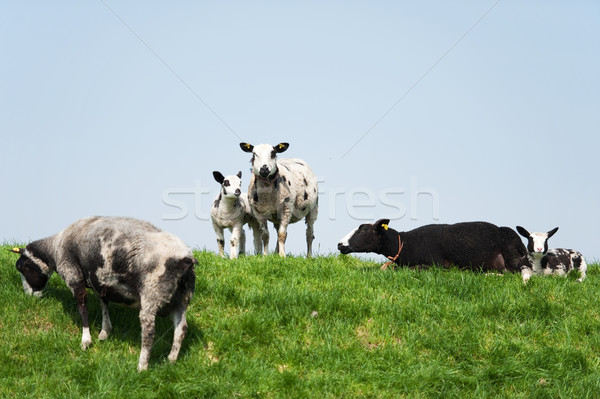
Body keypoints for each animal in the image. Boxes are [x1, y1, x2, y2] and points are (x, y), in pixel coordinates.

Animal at [9, 216, 197, 372]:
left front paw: (86, 340)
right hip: (182, 299)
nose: (29, 296)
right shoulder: (100, 282)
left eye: (21, 267)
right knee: (181, 328)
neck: (55, 248)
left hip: (152, 294)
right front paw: (105, 331)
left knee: (149, 332)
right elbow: (103, 304)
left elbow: (82, 308)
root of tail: (186, 259)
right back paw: (171, 360)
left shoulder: (73, 274)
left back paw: (142, 367)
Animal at [338, 219, 528, 278]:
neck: (407, 243)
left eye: (363, 229)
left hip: (512, 258)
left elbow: (412, 269)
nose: (339, 244)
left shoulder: (437, 265)